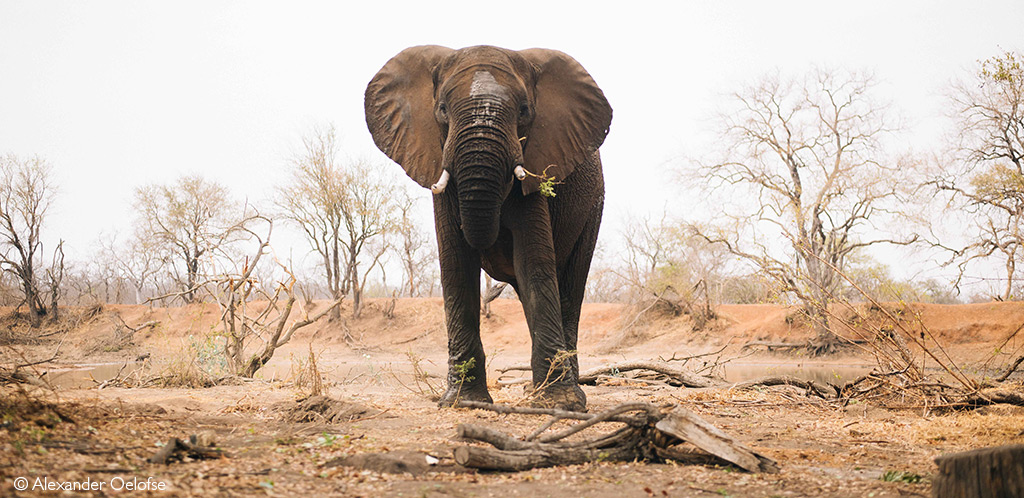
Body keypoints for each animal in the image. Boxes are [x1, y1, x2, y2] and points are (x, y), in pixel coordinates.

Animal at [366, 44, 610, 409]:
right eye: (442, 110)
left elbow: (533, 263)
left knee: (569, 290)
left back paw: (567, 393)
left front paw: (560, 404)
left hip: (594, 207)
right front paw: (463, 402)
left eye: (524, 111)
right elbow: (456, 265)